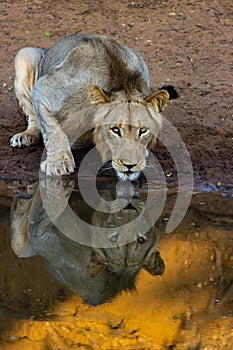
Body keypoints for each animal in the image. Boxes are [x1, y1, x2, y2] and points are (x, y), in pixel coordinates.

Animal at [10, 32, 169, 179]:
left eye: (143, 131)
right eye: (115, 130)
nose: (130, 165)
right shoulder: (43, 89)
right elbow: (52, 131)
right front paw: (58, 163)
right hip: (24, 54)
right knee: (33, 118)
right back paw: (26, 136)